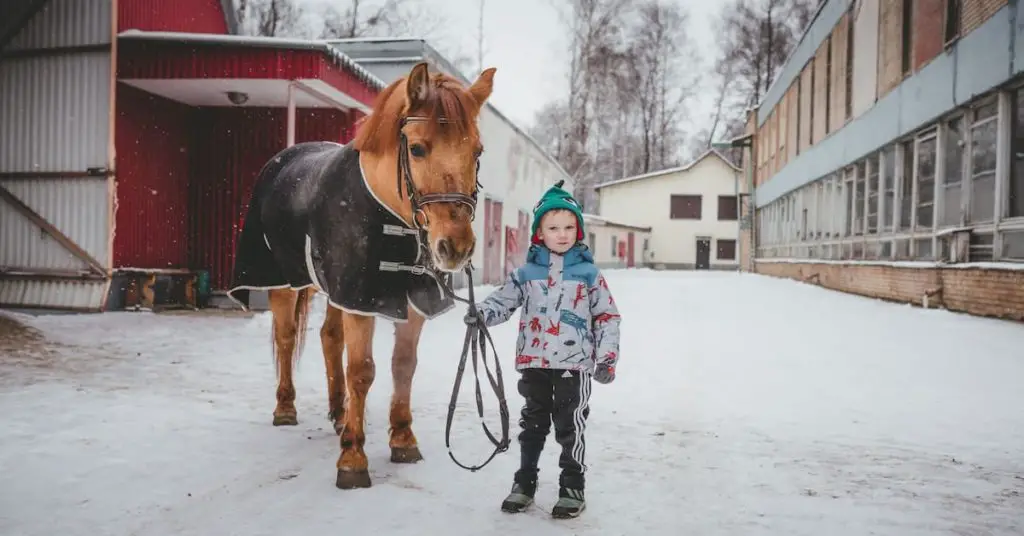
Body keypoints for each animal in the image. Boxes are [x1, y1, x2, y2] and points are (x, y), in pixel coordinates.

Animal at [227, 60, 495, 487]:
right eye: (417, 148)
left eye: (477, 151)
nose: (455, 247)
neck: (390, 211)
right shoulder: (361, 300)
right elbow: (362, 371)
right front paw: (353, 459)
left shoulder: (407, 302)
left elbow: (403, 366)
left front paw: (402, 438)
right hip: (286, 282)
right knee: (286, 338)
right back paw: (286, 408)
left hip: (334, 290)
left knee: (328, 337)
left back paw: (339, 414)